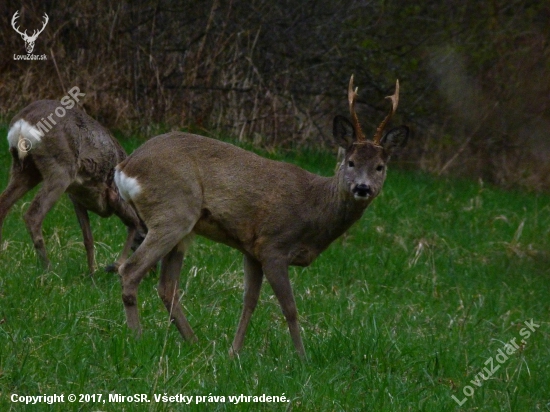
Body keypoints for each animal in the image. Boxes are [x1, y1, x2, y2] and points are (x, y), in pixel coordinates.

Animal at [0, 98, 144, 274]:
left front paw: (92, 273)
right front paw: (114, 266)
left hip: (25, 169)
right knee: (33, 215)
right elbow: (134, 223)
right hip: (61, 169)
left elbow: (88, 238)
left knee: (3, 205)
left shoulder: (77, 198)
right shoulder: (115, 195)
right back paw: (49, 270)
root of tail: (22, 121)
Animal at [116, 76, 410, 358]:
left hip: (182, 229)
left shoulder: (251, 249)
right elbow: (290, 308)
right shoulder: (273, 246)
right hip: (173, 212)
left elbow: (250, 302)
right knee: (130, 270)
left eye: (380, 167)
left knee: (167, 286)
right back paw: (137, 338)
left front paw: (234, 352)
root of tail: (125, 167)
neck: (315, 210)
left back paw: (194, 342)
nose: (362, 187)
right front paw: (302, 358)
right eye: (350, 162)